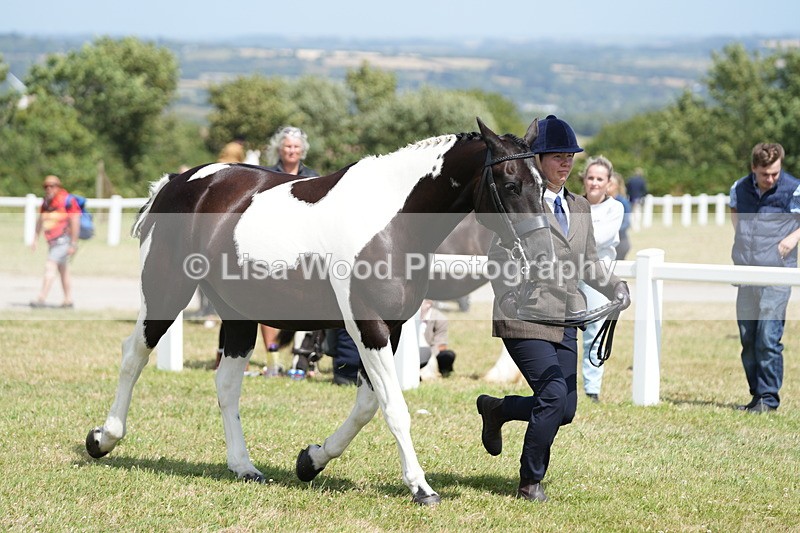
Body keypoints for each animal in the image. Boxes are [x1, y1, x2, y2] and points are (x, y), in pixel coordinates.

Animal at [85, 117, 551, 505]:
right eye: (510, 184)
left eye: (544, 185)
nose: (543, 251)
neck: (392, 219)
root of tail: (177, 181)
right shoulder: (368, 325)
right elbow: (394, 407)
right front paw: (421, 487)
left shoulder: (392, 327)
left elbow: (368, 404)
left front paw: (311, 460)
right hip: (165, 292)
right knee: (133, 356)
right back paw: (103, 439)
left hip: (238, 313)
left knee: (226, 384)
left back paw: (243, 466)